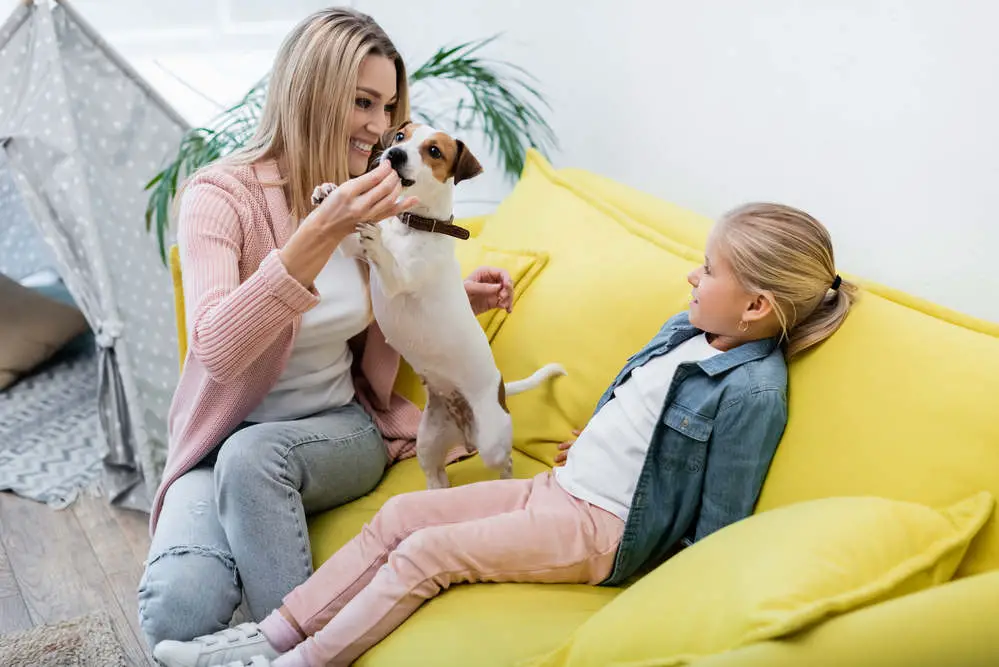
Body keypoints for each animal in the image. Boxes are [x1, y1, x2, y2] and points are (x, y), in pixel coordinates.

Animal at [314, 124, 564, 490]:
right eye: (400, 137)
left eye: (434, 152)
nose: (394, 155)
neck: (410, 225)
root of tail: (501, 389)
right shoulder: (352, 250)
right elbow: (350, 240)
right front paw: (326, 192)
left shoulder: (398, 279)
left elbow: (386, 258)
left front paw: (375, 237)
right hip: (428, 441)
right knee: (437, 475)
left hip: (491, 443)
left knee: (505, 461)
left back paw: (505, 479)